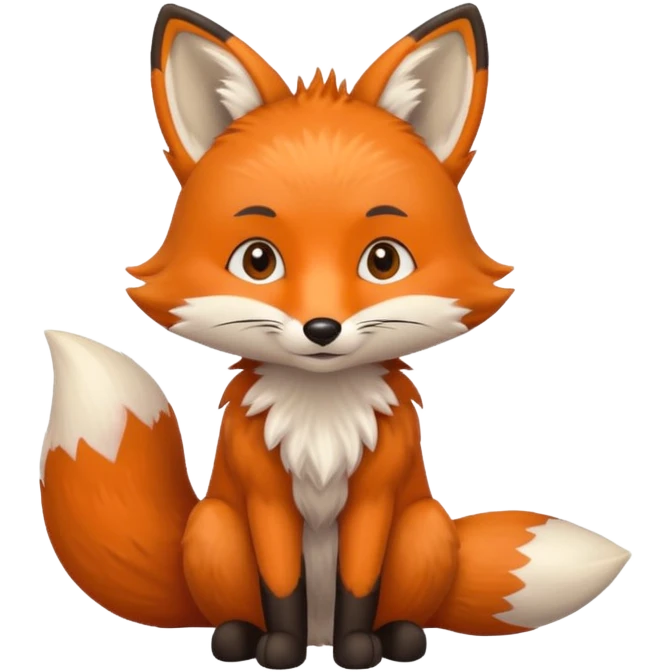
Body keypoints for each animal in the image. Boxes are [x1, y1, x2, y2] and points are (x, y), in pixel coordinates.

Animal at [39, 2, 632, 669]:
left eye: (383, 261)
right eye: (258, 261)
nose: (321, 329)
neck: (321, 417)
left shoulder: (376, 494)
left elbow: (358, 583)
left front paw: (356, 650)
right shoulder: (265, 496)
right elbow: (281, 585)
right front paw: (279, 649)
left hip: (424, 530)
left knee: (405, 599)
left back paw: (398, 636)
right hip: (214, 531)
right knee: (233, 603)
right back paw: (239, 636)